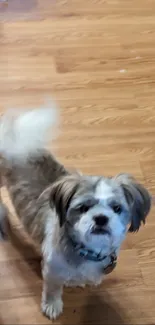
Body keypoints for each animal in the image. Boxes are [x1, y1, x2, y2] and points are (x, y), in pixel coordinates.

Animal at [0, 105, 151, 318]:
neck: (87, 250)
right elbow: (53, 289)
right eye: (83, 208)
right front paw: (52, 305)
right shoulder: (53, 269)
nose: (101, 218)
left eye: (117, 208)